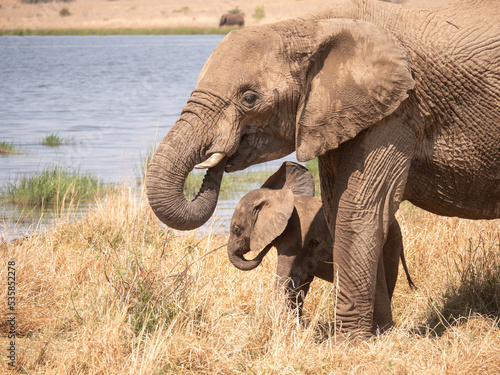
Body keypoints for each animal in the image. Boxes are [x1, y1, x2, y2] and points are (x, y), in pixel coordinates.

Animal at [228, 162, 414, 324]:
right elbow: (300, 283)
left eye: (236, 229)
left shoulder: (296, 237)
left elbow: (285, 279)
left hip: (390, 244)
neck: (276, 197)